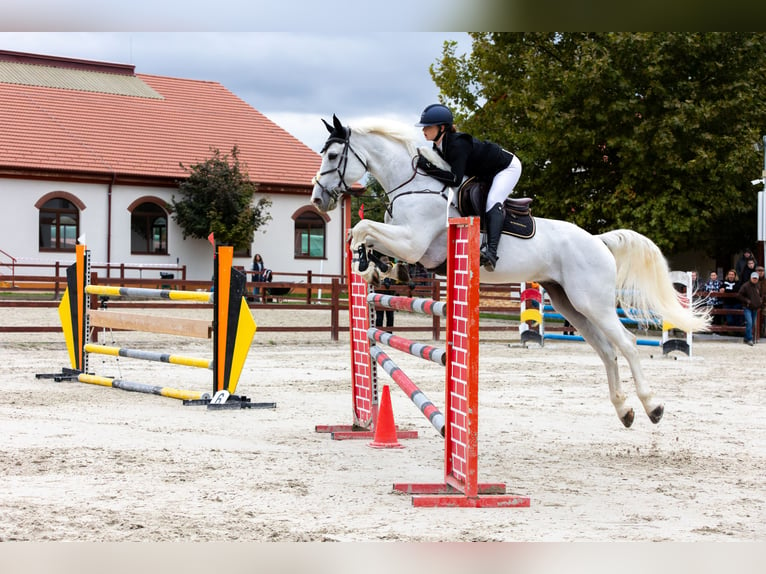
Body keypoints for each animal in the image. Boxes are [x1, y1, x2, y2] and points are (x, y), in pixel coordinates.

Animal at [310, 116, 708, 428]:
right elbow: (366, 236)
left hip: (592, 301)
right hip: (569, 304)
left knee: (625, 344)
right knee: (606, 350)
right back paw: (624, 410)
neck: (414, 186)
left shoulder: (413, 242)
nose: (317, 200)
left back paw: (652, 406)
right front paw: (376, 267)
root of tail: (597, 240)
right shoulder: (409, 245)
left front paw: (365, 263)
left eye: (333, 155)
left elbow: (362, 229)